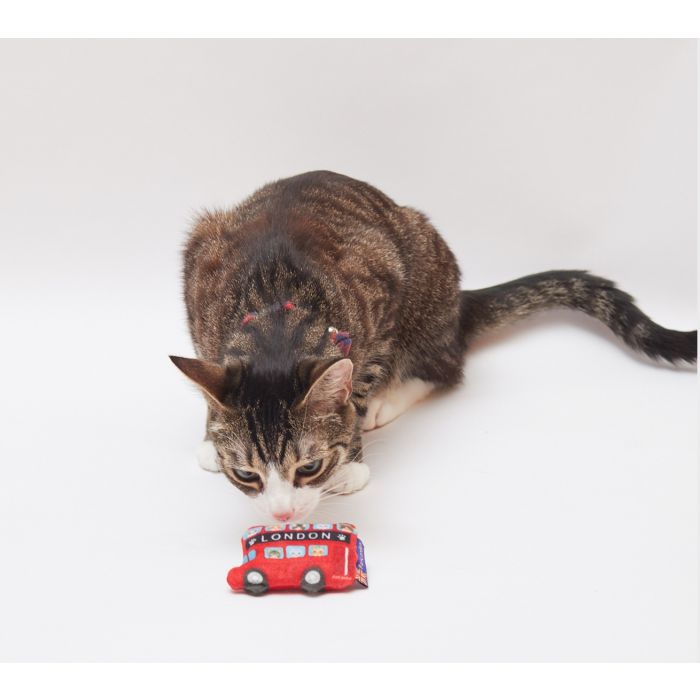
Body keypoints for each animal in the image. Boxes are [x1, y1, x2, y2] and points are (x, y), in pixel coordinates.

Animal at [171, 168, 700, 520]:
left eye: (311, 467)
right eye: (247, 476)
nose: (282, 514)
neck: (276, 323)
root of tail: (458, 307)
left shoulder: (382, 284)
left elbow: (360, 384)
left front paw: (353, 463)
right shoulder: (198, 275)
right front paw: (210, 436)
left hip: (424, 267)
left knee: (445, 364)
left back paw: (390, 397)